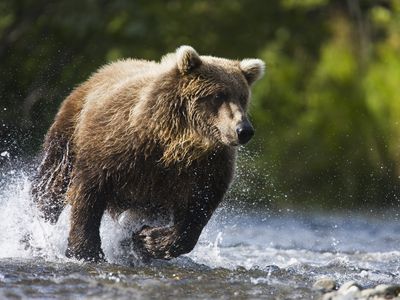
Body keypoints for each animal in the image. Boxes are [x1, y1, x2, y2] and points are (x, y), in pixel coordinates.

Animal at [30, 45, 262, 262]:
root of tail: (100, 71)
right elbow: (89, 192)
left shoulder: (205, 167)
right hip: (69, 132)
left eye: (242, 97)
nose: (244, 130)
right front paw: (86, 251)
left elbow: (198, 209)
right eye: (217, 95)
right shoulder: (115, 147)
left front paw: (148, 239)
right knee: (52, 183)